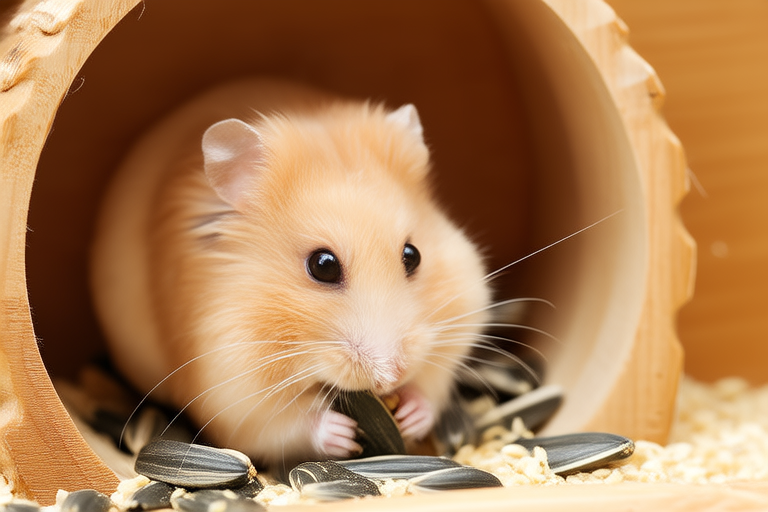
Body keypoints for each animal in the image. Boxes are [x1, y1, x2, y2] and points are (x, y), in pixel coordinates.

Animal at [90, 78, 491, 467]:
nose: (391, 375)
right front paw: (341, 431)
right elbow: (283, 425)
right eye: (323, 266)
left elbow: (432, 383)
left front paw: (411, 414)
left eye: (413, 255)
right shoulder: (230, 385)